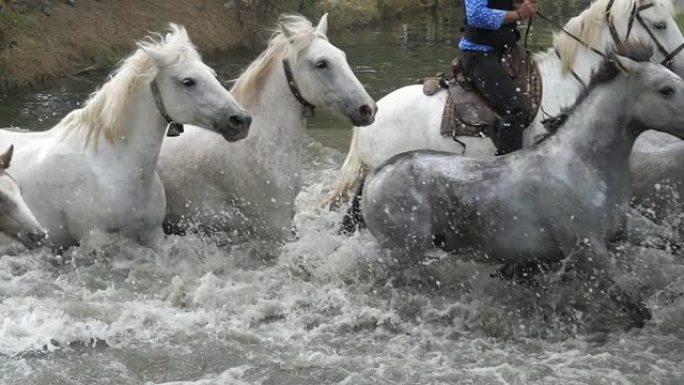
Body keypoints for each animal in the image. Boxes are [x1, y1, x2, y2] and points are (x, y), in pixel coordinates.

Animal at [0, 24, 251, 248]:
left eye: (212, 74)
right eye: (188, 81)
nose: (241, 120)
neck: (114, 168)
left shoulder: (154, 235)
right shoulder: (97, 240)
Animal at [350, 45, 684, 324]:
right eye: (666, 89)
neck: (581, 165)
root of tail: (376, 176)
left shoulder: (626, 228)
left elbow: (672, 242)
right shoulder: (588, 252)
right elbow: (638, 307)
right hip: (404, 252)